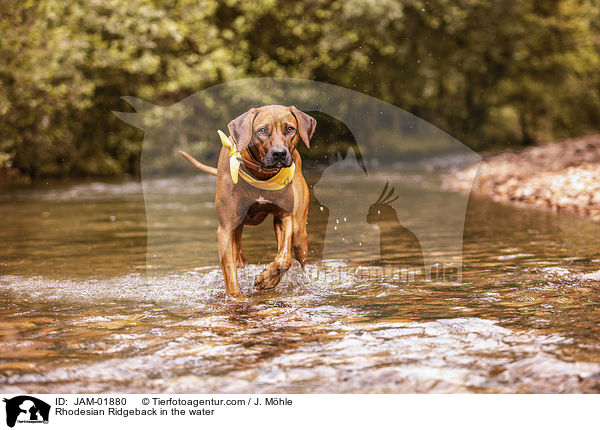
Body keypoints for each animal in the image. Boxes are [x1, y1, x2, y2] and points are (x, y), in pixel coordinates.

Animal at [180, 106, 316, 298]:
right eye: (262, 131)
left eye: (290, 129)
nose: (279, 153)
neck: (261, 175)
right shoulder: (226, 228)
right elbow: (230, 273)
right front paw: (236, 297)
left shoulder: (284, 216)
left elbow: (284, 258)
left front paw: (267, 279)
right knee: (238, 259)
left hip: (299, 234)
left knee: (299, 259)